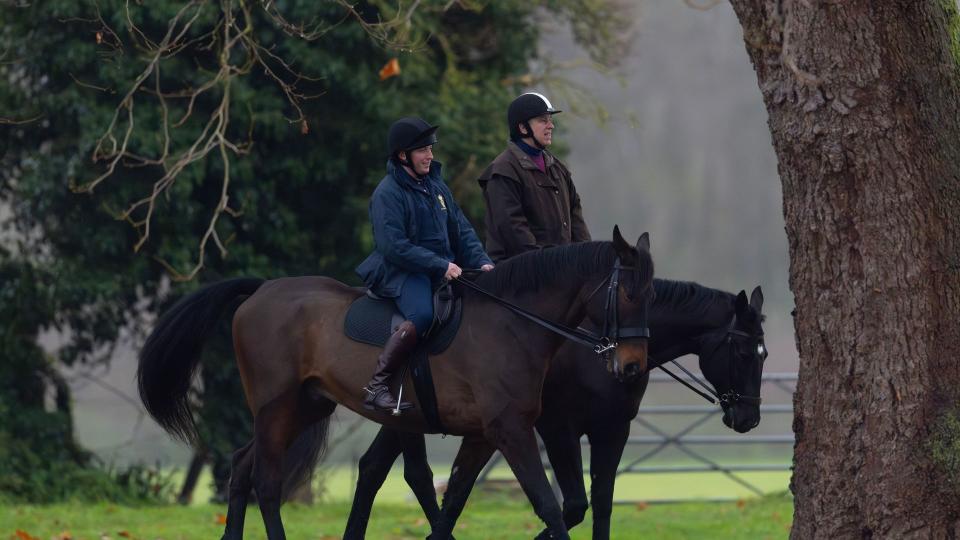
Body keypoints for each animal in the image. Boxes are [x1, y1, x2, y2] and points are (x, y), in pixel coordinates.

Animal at [139, 228, 656, 540]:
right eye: (630, 293)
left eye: (649, 294)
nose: (632, 368)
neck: (510, 324)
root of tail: (262, 290)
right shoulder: (510, 430)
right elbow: (547, 504)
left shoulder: (484, 434)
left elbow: (452, 499)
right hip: (275, 408)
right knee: (266, 481)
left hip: (306, 406)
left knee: (243, 467)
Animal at [342, 278, 768, 540]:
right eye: (745, 353)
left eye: (763, 354)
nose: (749, 418)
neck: (598, 351)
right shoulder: (558, 429)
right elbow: (575, 505)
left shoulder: (613, 431)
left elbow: (601, 503)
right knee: (410, 472)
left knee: (374, 466)